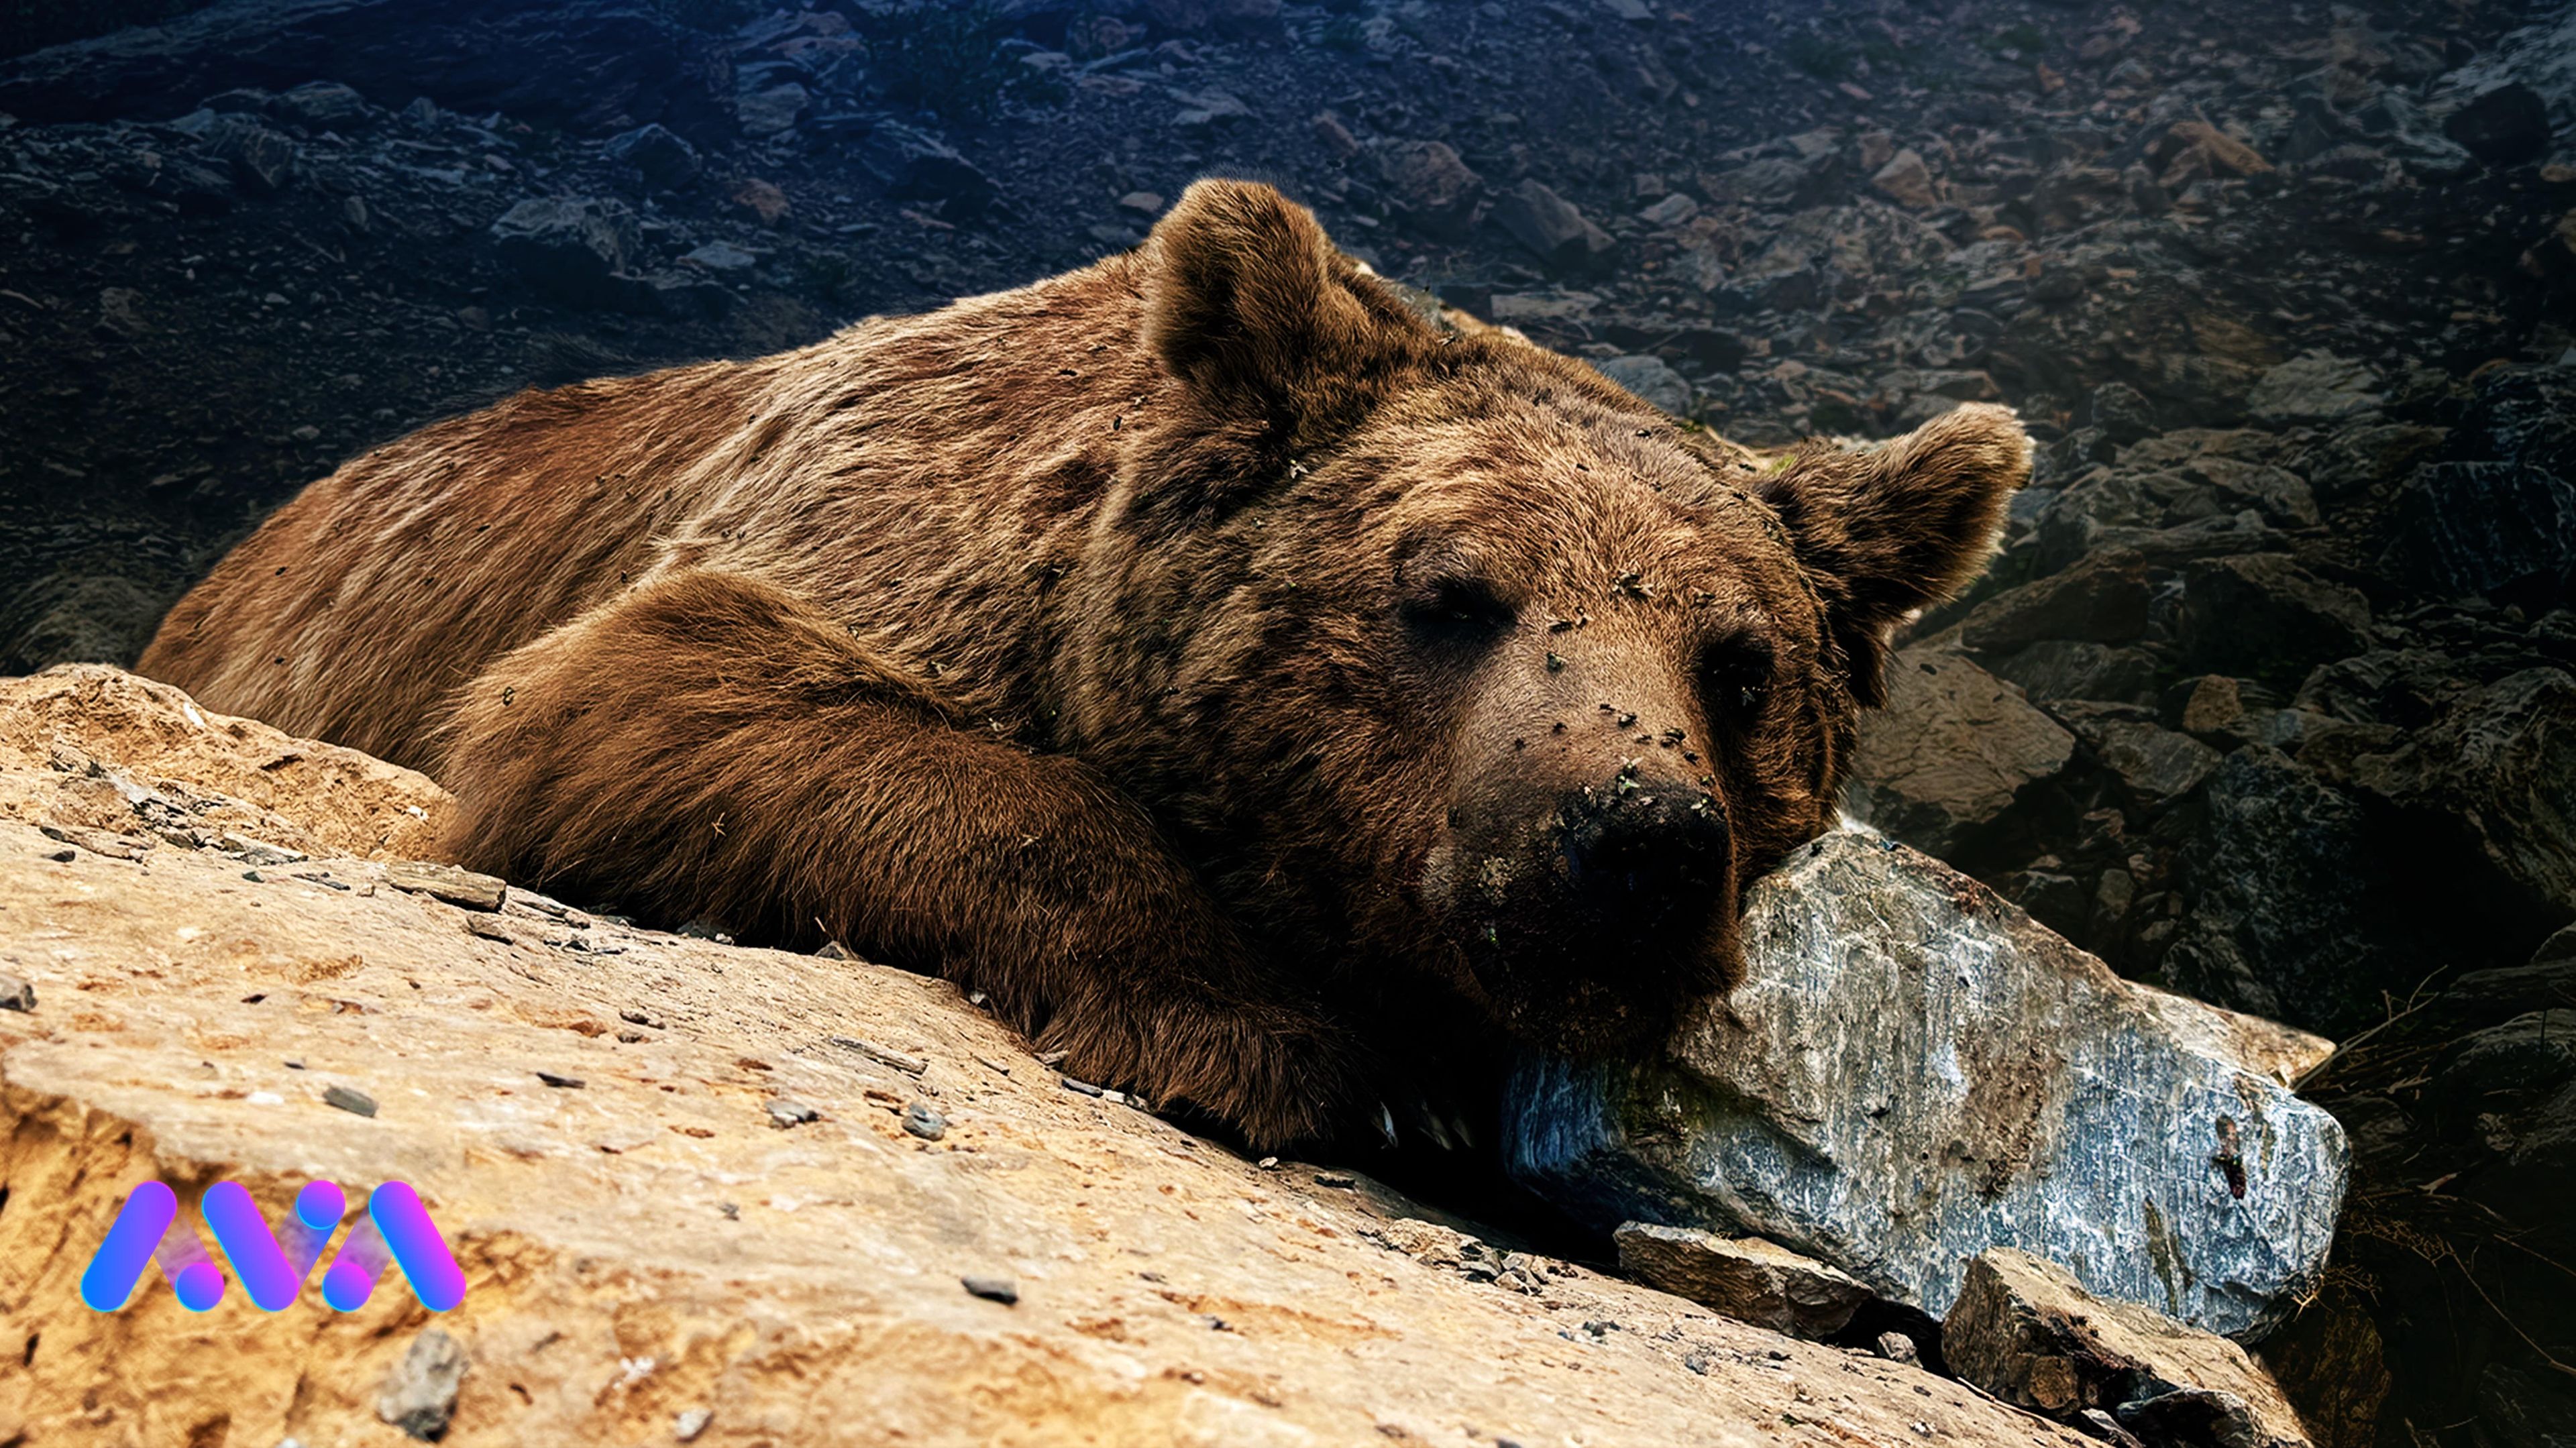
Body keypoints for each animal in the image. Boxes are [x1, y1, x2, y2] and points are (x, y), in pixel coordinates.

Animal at [146, 178, 2029, 1139]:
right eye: (1450, 594)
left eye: (1740, 666)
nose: (1628, 839)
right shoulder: (855, 529)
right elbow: (663, 698)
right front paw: (1270, 1040)